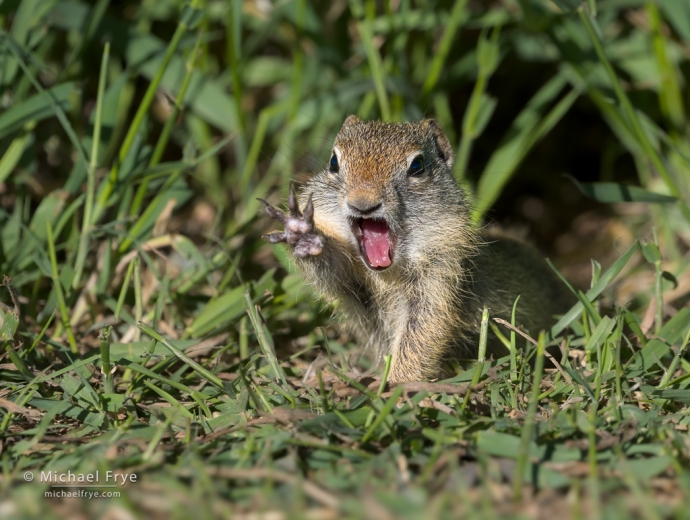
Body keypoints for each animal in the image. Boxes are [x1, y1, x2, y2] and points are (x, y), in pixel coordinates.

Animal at [260, 116, 572, 382]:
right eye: (334, 162)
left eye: (417, 166)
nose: (363, 203)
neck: (385, 275)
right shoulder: (354, 287)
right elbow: (332, 271)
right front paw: (303, 233)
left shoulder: (438, 280)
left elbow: (421, 337)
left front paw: (395, 386)